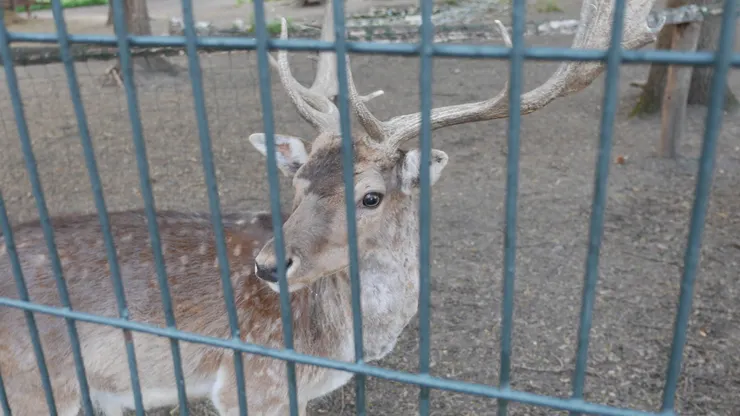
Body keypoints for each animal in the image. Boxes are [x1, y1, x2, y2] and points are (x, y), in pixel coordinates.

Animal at [0, 0, 660, 414]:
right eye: (295, 185)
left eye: (371, 195)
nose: (268, 266)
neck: (341, 343)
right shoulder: (253, 382)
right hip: (36, 383)